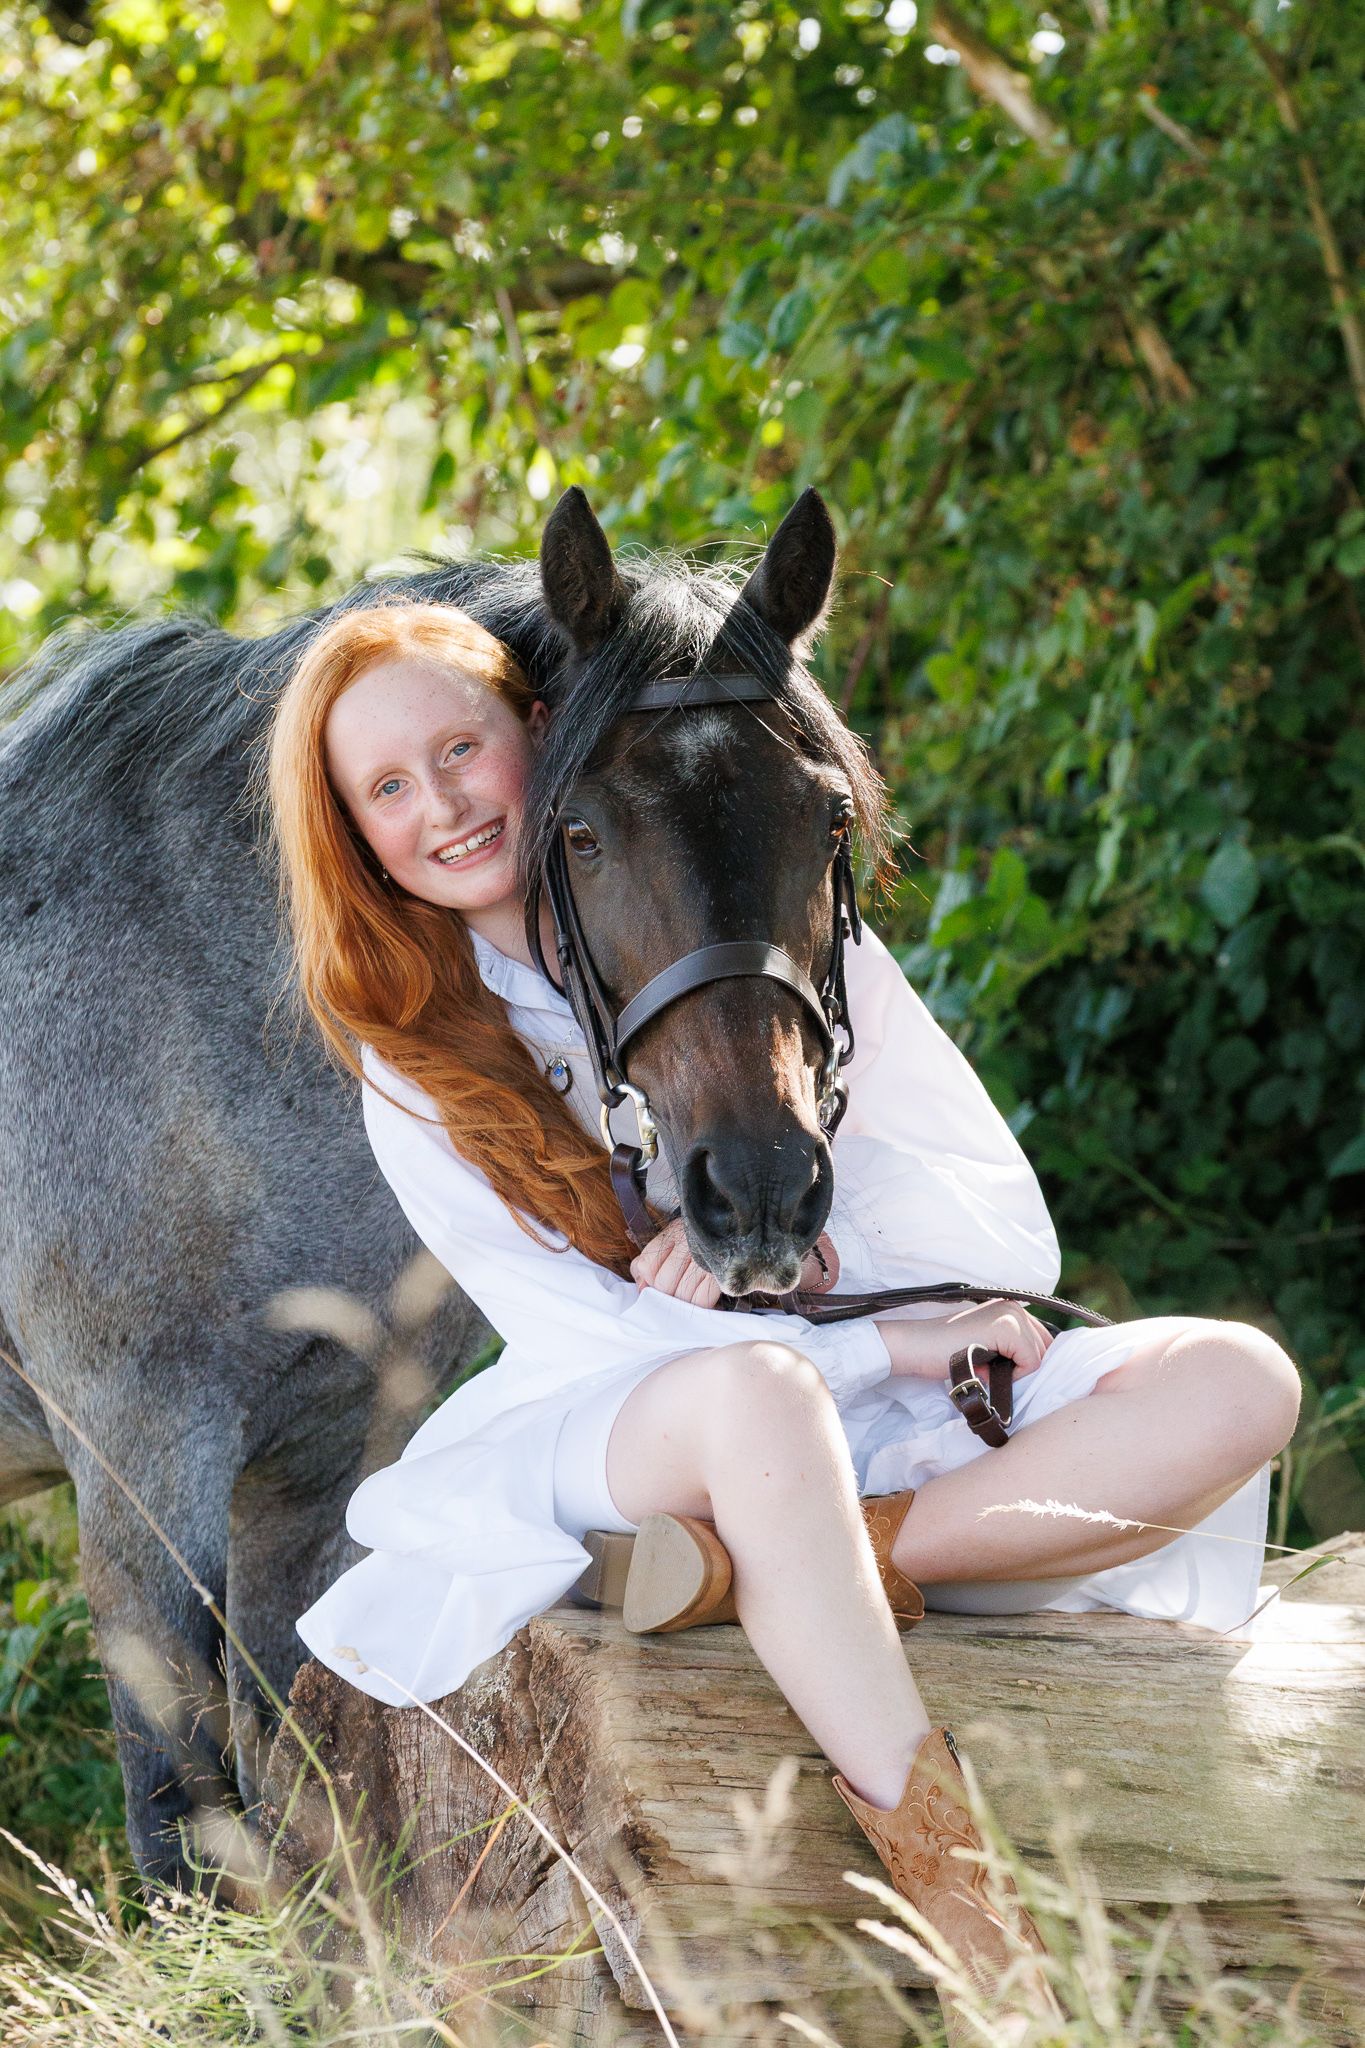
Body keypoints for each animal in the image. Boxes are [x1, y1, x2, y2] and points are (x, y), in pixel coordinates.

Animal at [0, 485, 878, 1883]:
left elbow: (300, 1792)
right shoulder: (139, 1471)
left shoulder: (316, 1474)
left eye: (829, 816)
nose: (759, 1186)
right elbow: (190, 1834)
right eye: (580, 830)